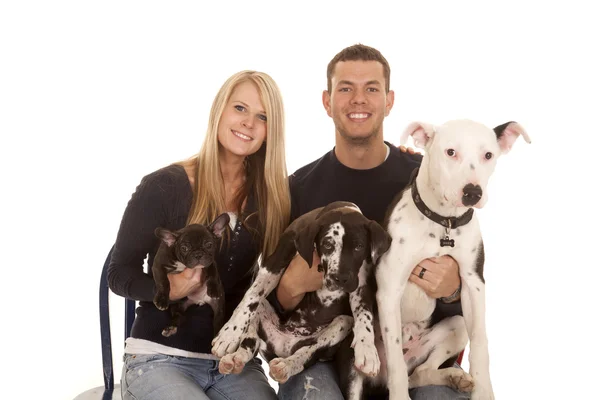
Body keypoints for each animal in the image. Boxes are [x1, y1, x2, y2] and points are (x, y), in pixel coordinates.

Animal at [209, 202, 392, 382]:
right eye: (327, 244)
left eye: (359, 247)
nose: (340, 278)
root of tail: (284, 346)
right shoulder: (275, 261)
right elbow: (252, 295)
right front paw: (229, 334)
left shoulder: (361, 283)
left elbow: (364, 314)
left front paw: (367, 348)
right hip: (263, 312)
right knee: (251, 340)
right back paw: (235, 358)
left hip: (342, 323)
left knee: (307, 353)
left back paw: (286, 366)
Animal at [360, 119, 528, 400]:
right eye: (450, 152)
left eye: (488, 155)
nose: (472, 192)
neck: (443, 222)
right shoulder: (389, 289)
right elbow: (394, 361)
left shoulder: (473, 284)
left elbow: (480, 343)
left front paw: (483, 391)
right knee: (401, 366)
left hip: (455, 326)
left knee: (422, 371)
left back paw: (453, 377)